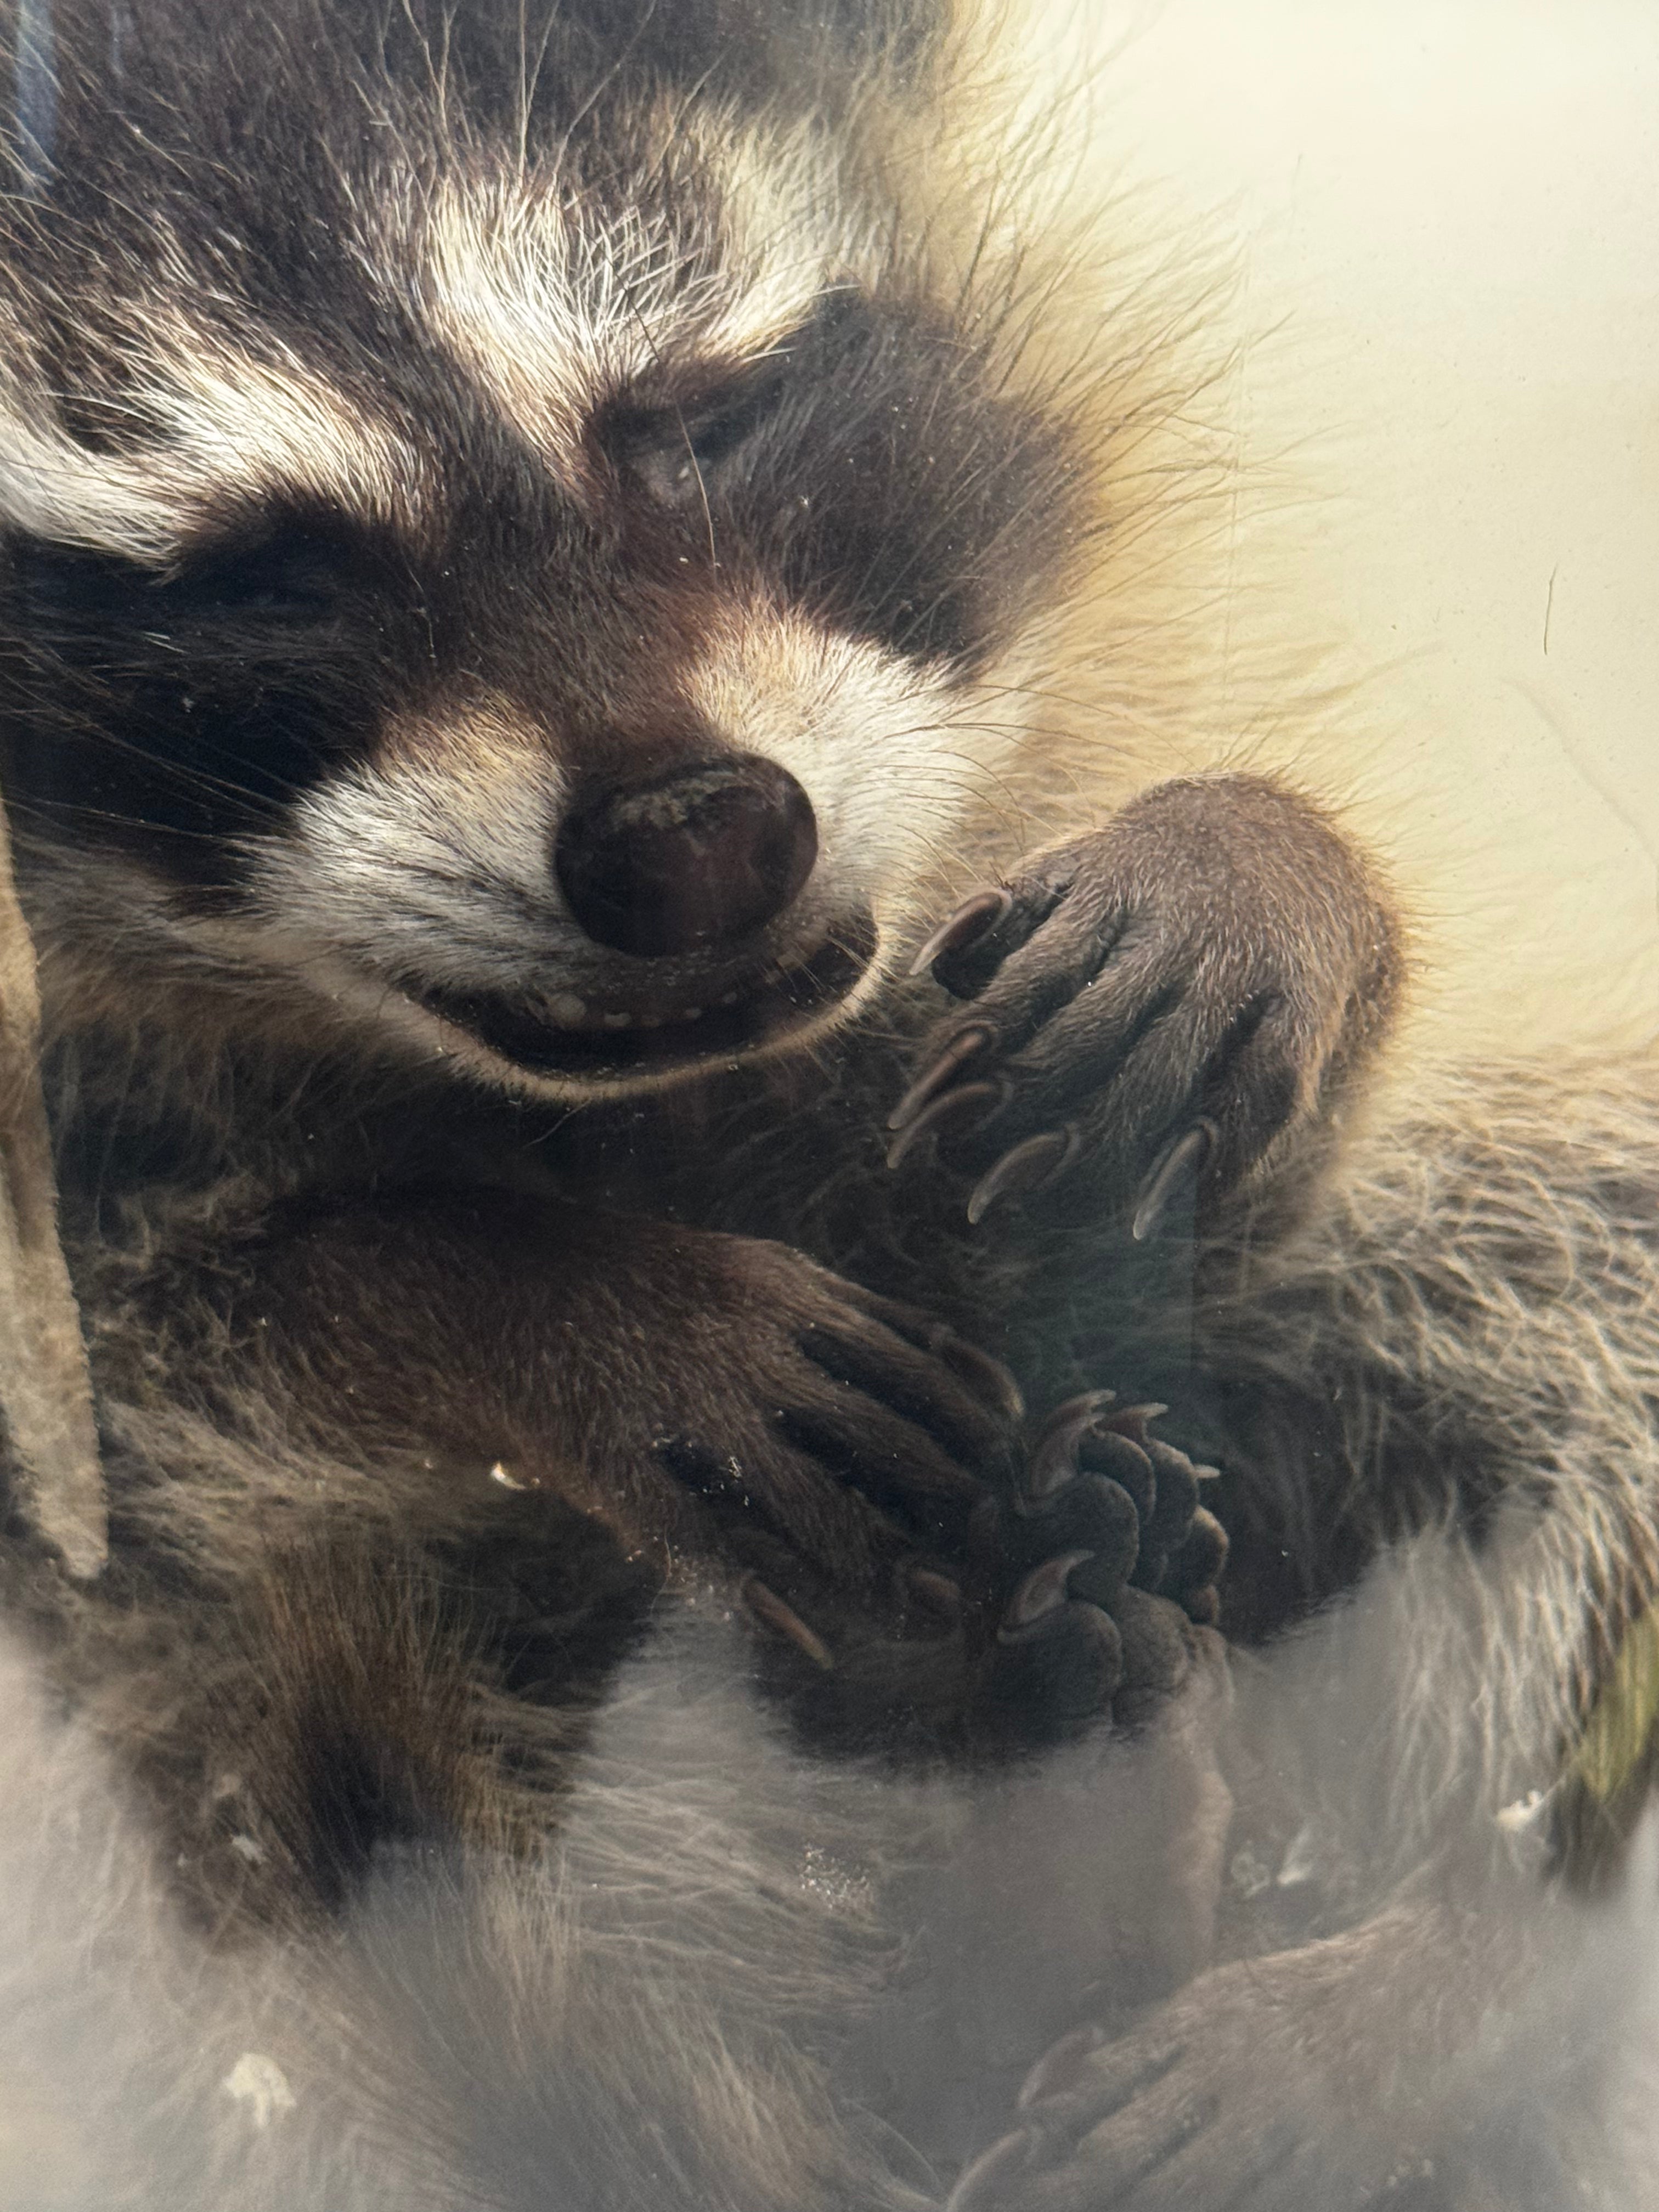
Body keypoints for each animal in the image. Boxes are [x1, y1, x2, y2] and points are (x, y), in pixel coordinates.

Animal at [1, 1, 1658, 2208]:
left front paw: (1277, 870)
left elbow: (1334, 1186)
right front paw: (511, 1294)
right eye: (265, 581)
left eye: (699, 421)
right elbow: (157, 1410)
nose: (699, 836)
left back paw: (1428, 1960)